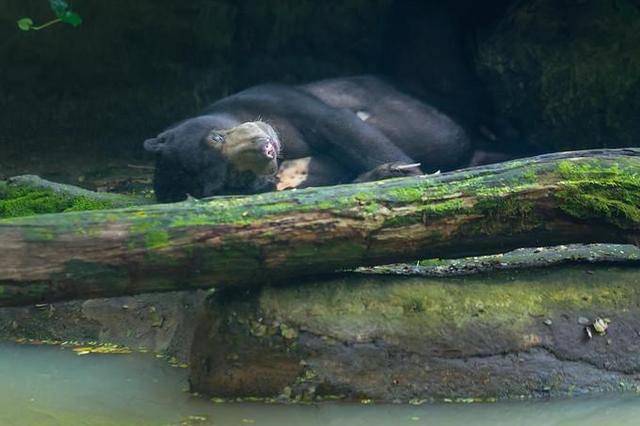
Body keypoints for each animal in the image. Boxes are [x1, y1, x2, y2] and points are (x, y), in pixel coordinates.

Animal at [145, 75, 472, 202]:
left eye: (215, 137)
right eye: (232, 177)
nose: (266, 148)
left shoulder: (274, 98)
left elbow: (340, 124)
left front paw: (410, 174)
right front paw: (387, 174)